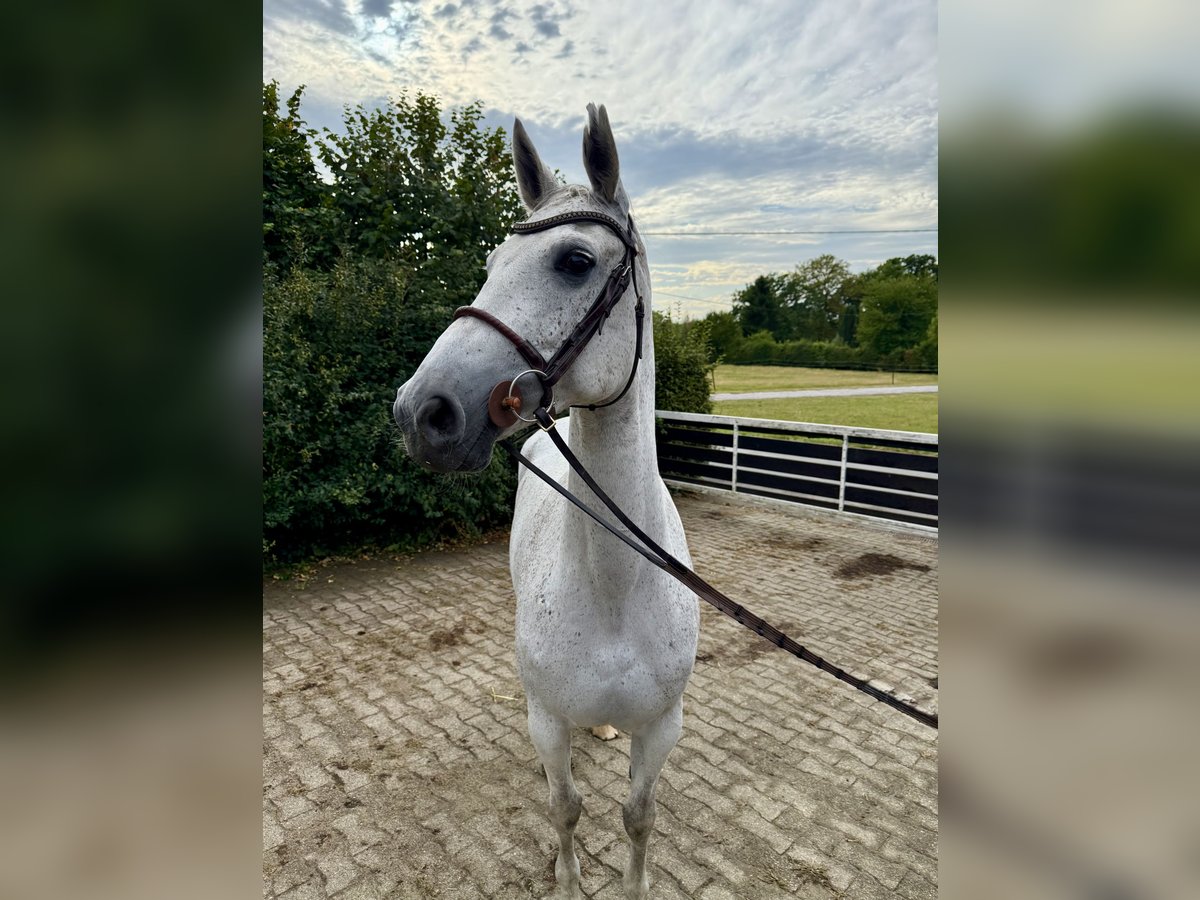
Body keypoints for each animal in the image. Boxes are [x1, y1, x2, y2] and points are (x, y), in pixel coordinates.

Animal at [393, 103, 699, 899]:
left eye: (575, 262)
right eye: (492, 264)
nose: (421, 412)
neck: (616, 591)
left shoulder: (663, 727)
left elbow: (638, 816)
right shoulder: (547, 721)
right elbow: (565, 808)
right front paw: (566, 878)